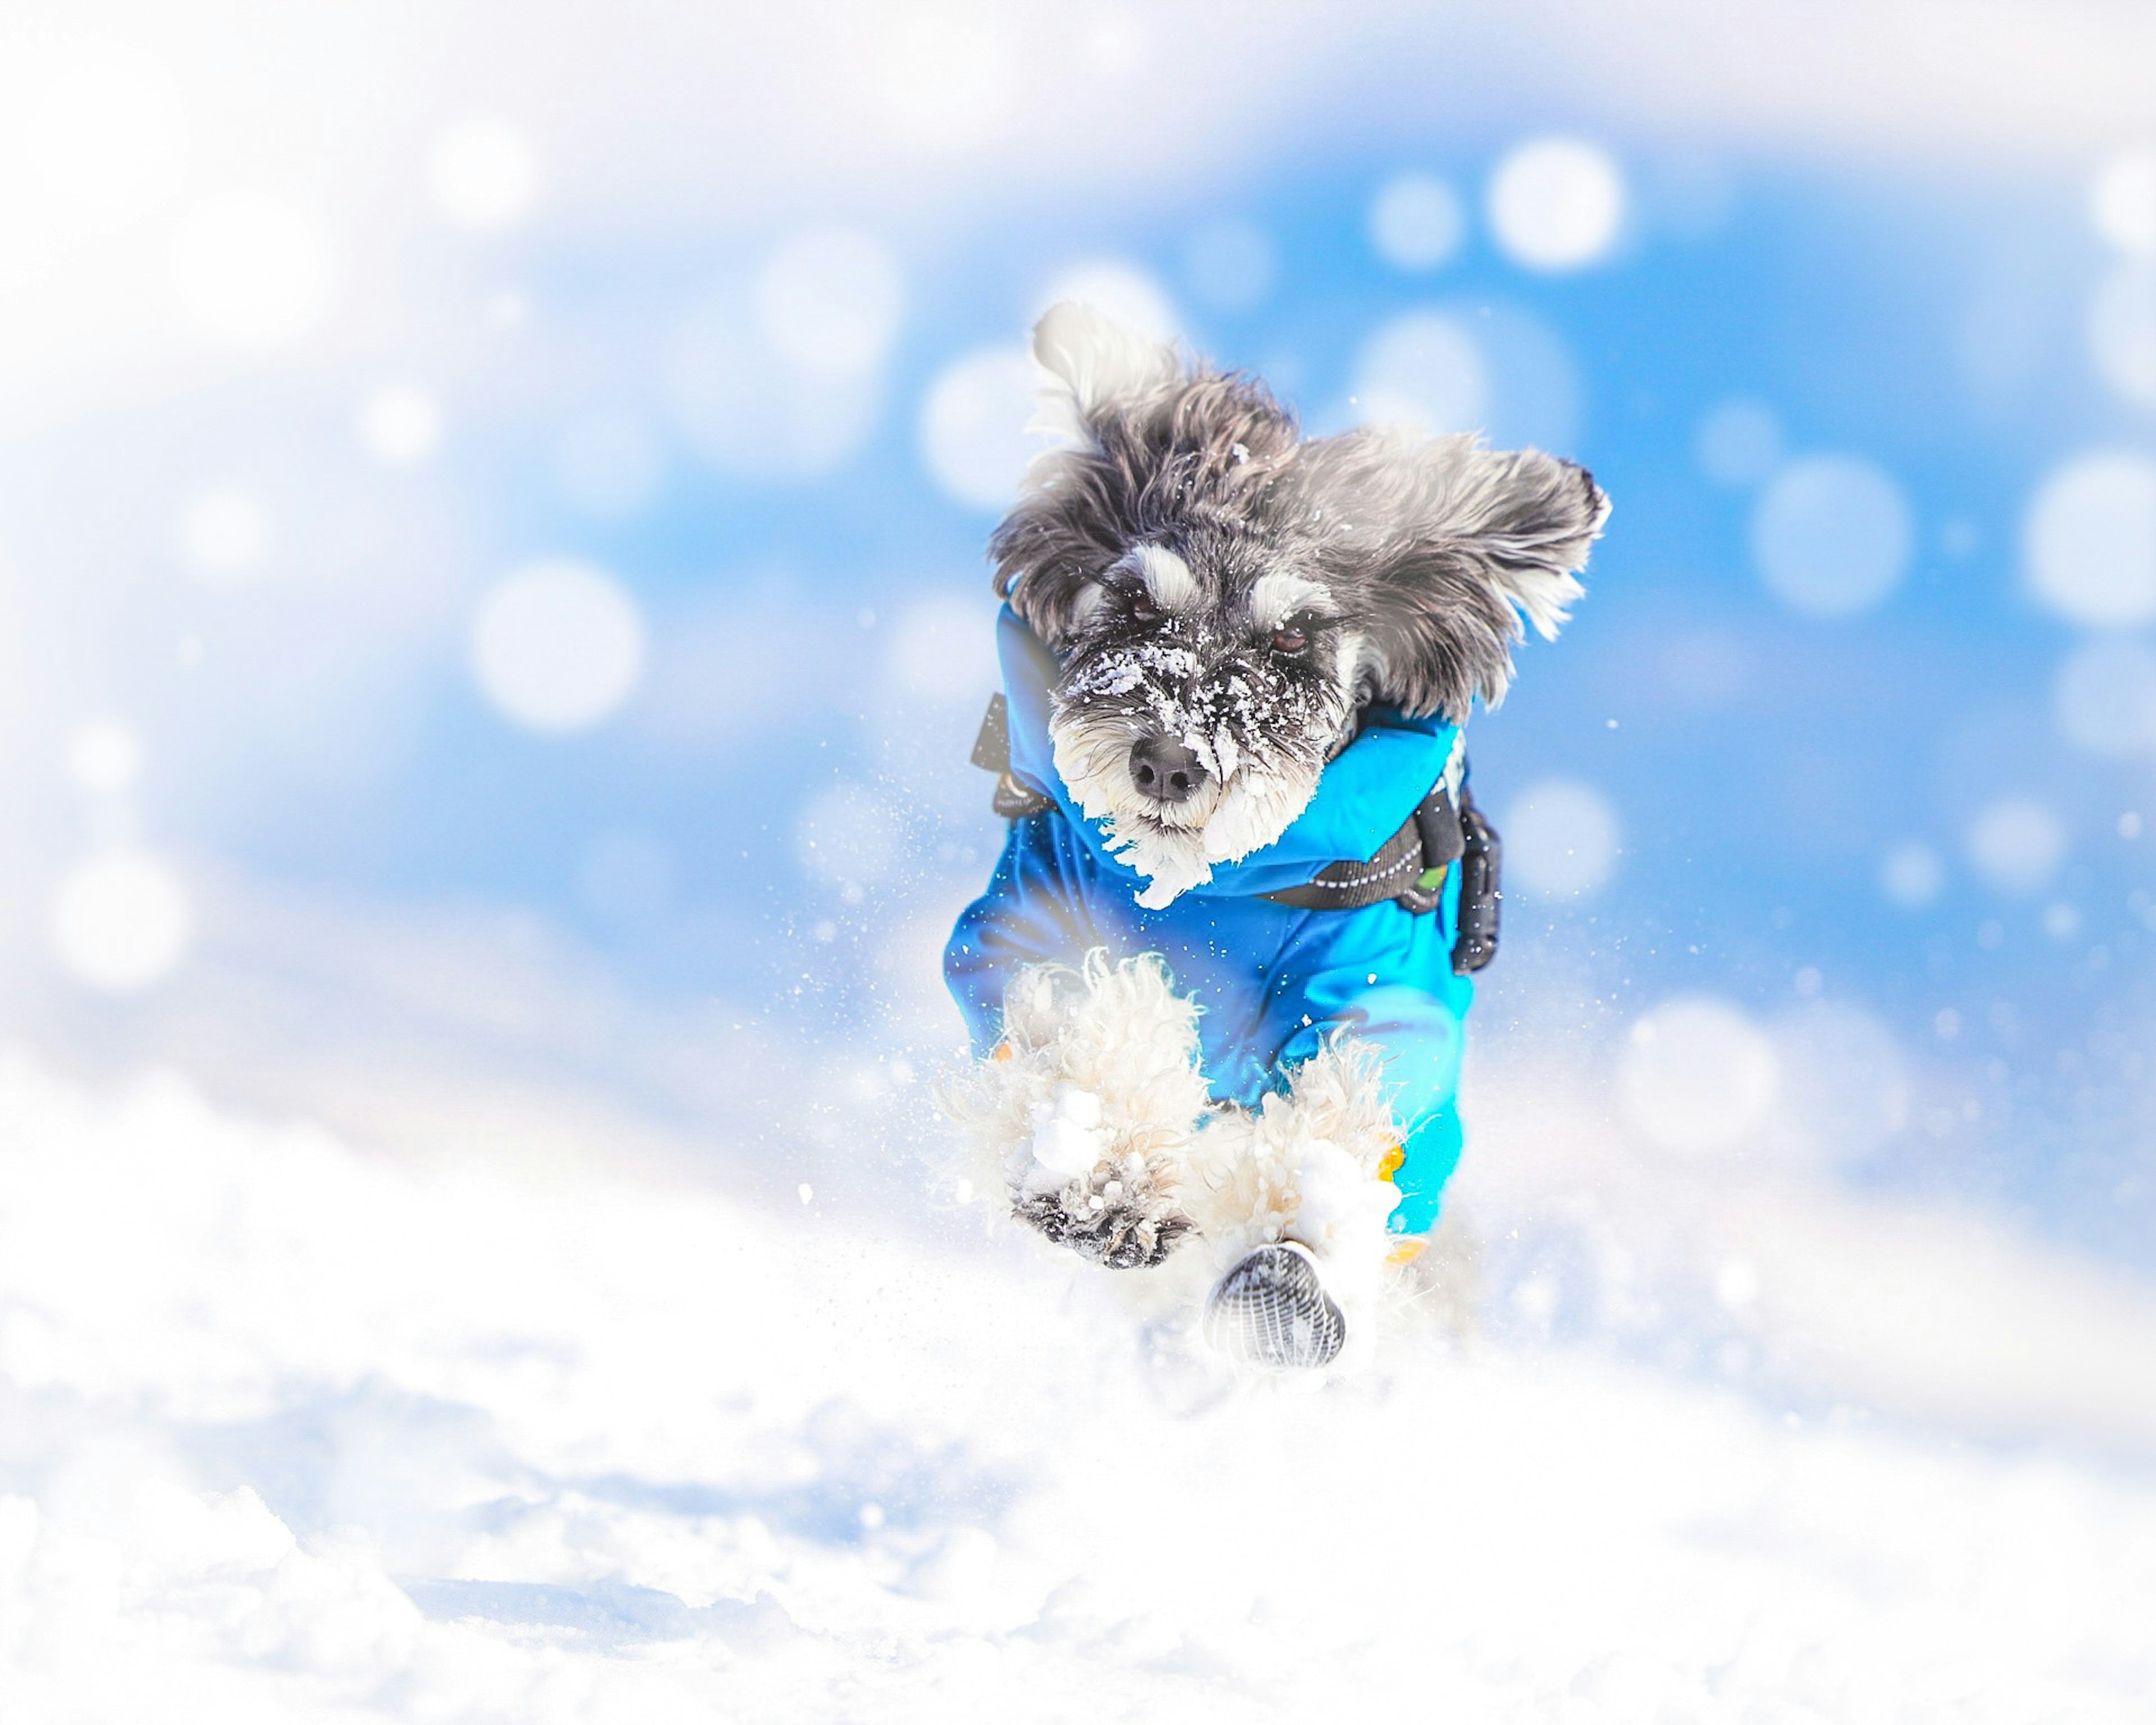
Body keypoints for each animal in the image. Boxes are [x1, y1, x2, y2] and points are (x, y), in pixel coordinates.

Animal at [940, 304, 1604, 1371]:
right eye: (1133, 600)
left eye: (1293, 639)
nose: (1170, 761)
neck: (1215, 889)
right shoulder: (1024, 923)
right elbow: (1084, 1005)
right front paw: (1109, 1170)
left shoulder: (1384, 990)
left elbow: (1351, 1103)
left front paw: (1297, 1256)